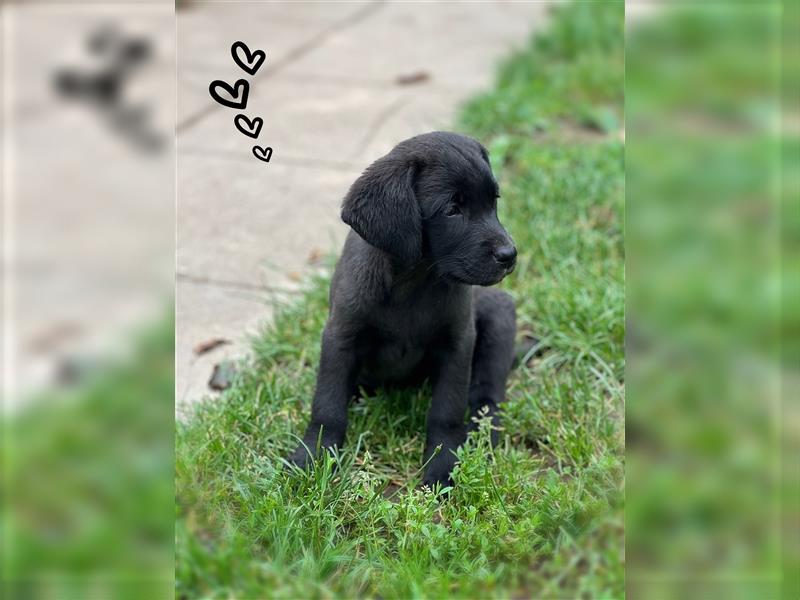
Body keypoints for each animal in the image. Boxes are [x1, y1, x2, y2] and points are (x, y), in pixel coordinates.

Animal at [288, 131, 520, 488]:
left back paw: (483, 435)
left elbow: (446, 410)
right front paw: (314, 455)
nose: (510, 255)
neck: (413, 282)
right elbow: (327, 404)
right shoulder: (341, 336)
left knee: (487, 397)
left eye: (493, 202)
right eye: (452, 209)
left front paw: (442, 466)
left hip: (500, 316)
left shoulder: (458, 342)